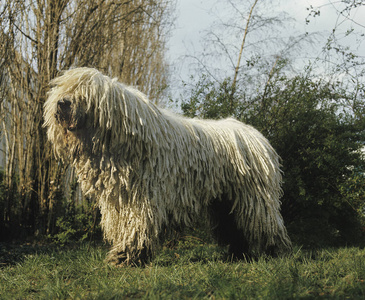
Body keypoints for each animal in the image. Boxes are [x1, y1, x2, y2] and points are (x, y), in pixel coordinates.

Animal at [43, 67, 290, 264]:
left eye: (84, 92)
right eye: (62, 88)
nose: (63, 103)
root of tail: (256, 135)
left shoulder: (140, 197)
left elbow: (137, 226)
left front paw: (128, 257)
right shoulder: (119, 200)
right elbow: (124, 226)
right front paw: (124, 255)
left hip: (254, 195)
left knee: (266, 223)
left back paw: (274, 252)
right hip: (224, 199)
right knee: (234, 227)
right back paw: (238, 255)